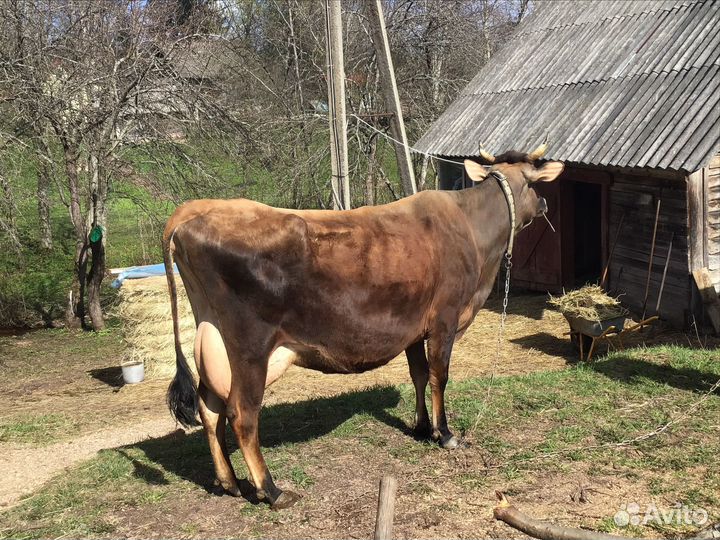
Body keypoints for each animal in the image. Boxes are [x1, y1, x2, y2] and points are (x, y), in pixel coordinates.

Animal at [162, 145, 564, 509]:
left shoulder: (413, 327)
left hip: (213, 338)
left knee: (210, 408)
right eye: (533, 182)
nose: (546, 204)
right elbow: (439, 375)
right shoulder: (445, 320)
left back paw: (229, 482)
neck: (473, 232)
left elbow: (418, 375)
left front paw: (421, 427)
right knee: (242, 414)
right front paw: (445, 434)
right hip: (250, 346)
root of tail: (191, 214)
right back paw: (272, 491)